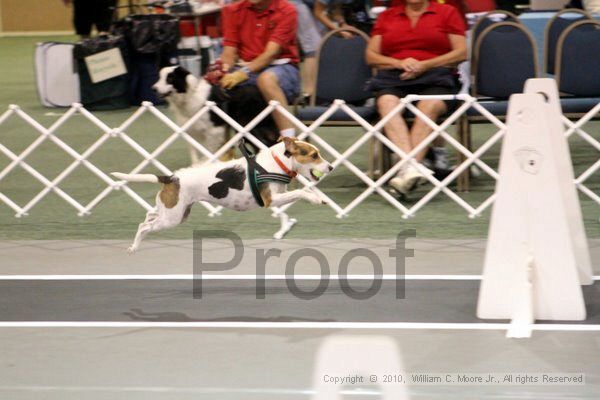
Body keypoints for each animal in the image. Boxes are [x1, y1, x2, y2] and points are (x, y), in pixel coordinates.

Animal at [112, 136, 332, 252]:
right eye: (314, 155)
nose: (330, 167)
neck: (275, 163)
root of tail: (172, 178)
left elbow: (302, 190)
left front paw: (319, 196)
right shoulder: (271, 200)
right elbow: (302, 192)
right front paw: (316, 199)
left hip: (176, 212)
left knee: (149, 215)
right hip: (171, 218)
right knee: (144, 227)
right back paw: (134, 246)